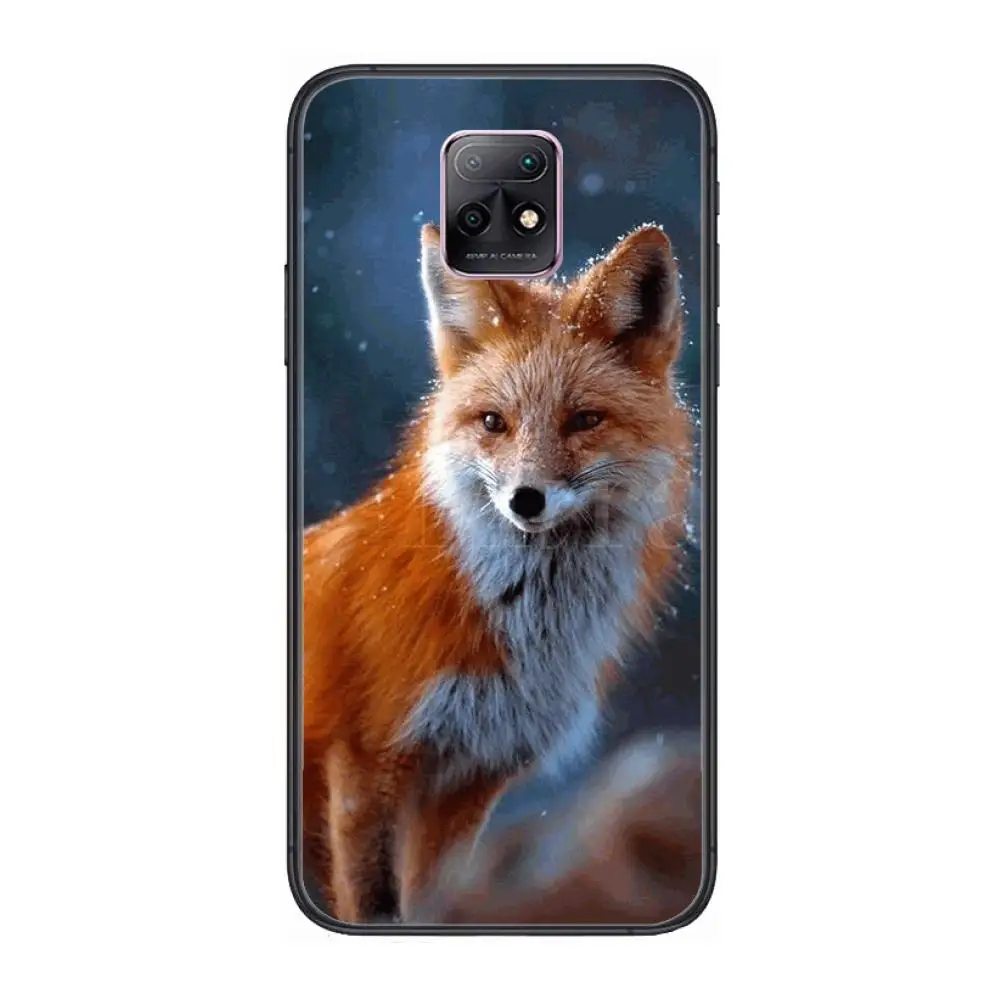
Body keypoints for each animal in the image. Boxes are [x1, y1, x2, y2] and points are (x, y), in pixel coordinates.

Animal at [302, 221, 692, 923]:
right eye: (493, 423)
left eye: (585, 420)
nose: (526, 500)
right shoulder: (366, 763)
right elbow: (376, 907)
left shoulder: (471, 779)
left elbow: (435, 905)